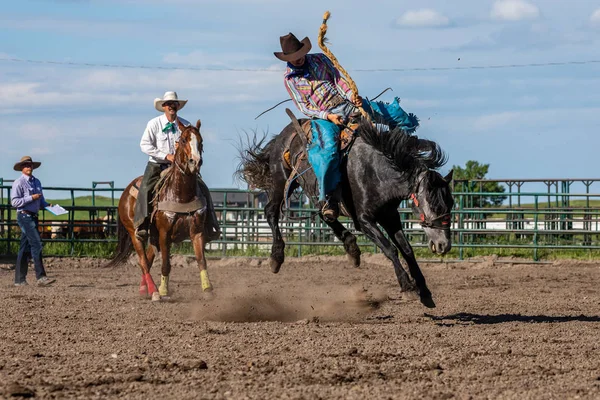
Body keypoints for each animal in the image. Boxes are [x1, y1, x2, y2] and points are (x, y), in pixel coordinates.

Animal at [105, 120, 213, 302]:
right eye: (183, 140)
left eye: (201, 140)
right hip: (135, 232)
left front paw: (208, 288)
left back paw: (144, 289)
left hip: (153, 237)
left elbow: (201, 260)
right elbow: (165, 264)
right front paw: (163, 290)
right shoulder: (164, 233)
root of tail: (125, 192)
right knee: (142, 261)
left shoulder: (197, 232)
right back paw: (154, 291)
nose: (195, 162)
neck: (181, 194)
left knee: (147, 260)